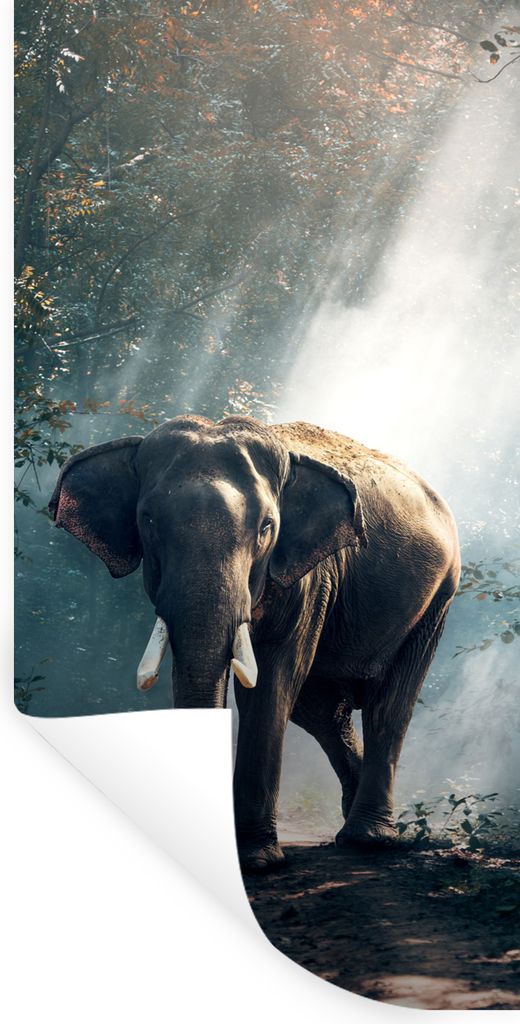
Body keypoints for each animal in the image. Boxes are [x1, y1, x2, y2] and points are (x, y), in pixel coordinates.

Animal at [49, 415, 460, 871]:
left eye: (266, 527)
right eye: (148, 520)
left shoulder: (310, 576)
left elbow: (271, 681)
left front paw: (256, 860)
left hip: (437, 599)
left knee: (388, 705)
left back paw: (368, 839)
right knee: (320, 711)